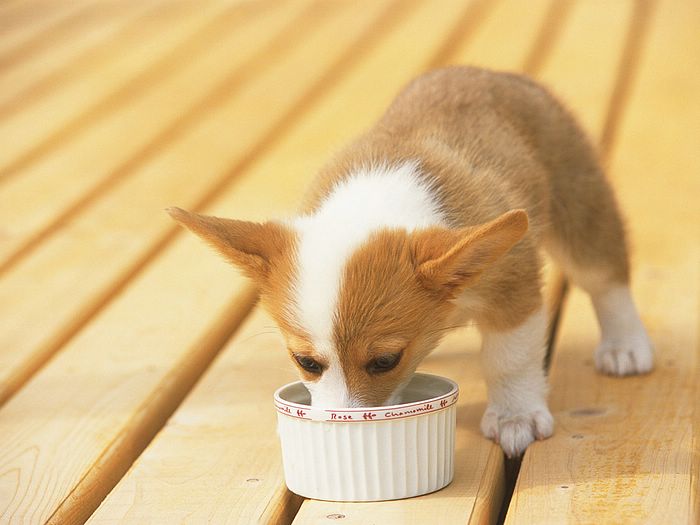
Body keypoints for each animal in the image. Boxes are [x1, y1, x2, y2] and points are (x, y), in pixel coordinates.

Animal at [167, 67, 652, 456]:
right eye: (306, 363)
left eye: (385, 361)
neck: (373, 207)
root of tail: (489, 73)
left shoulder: (513, 288)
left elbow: (509, 358)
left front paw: (515, 416)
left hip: (579, 204)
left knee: (605, 277)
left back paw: (625, 345)